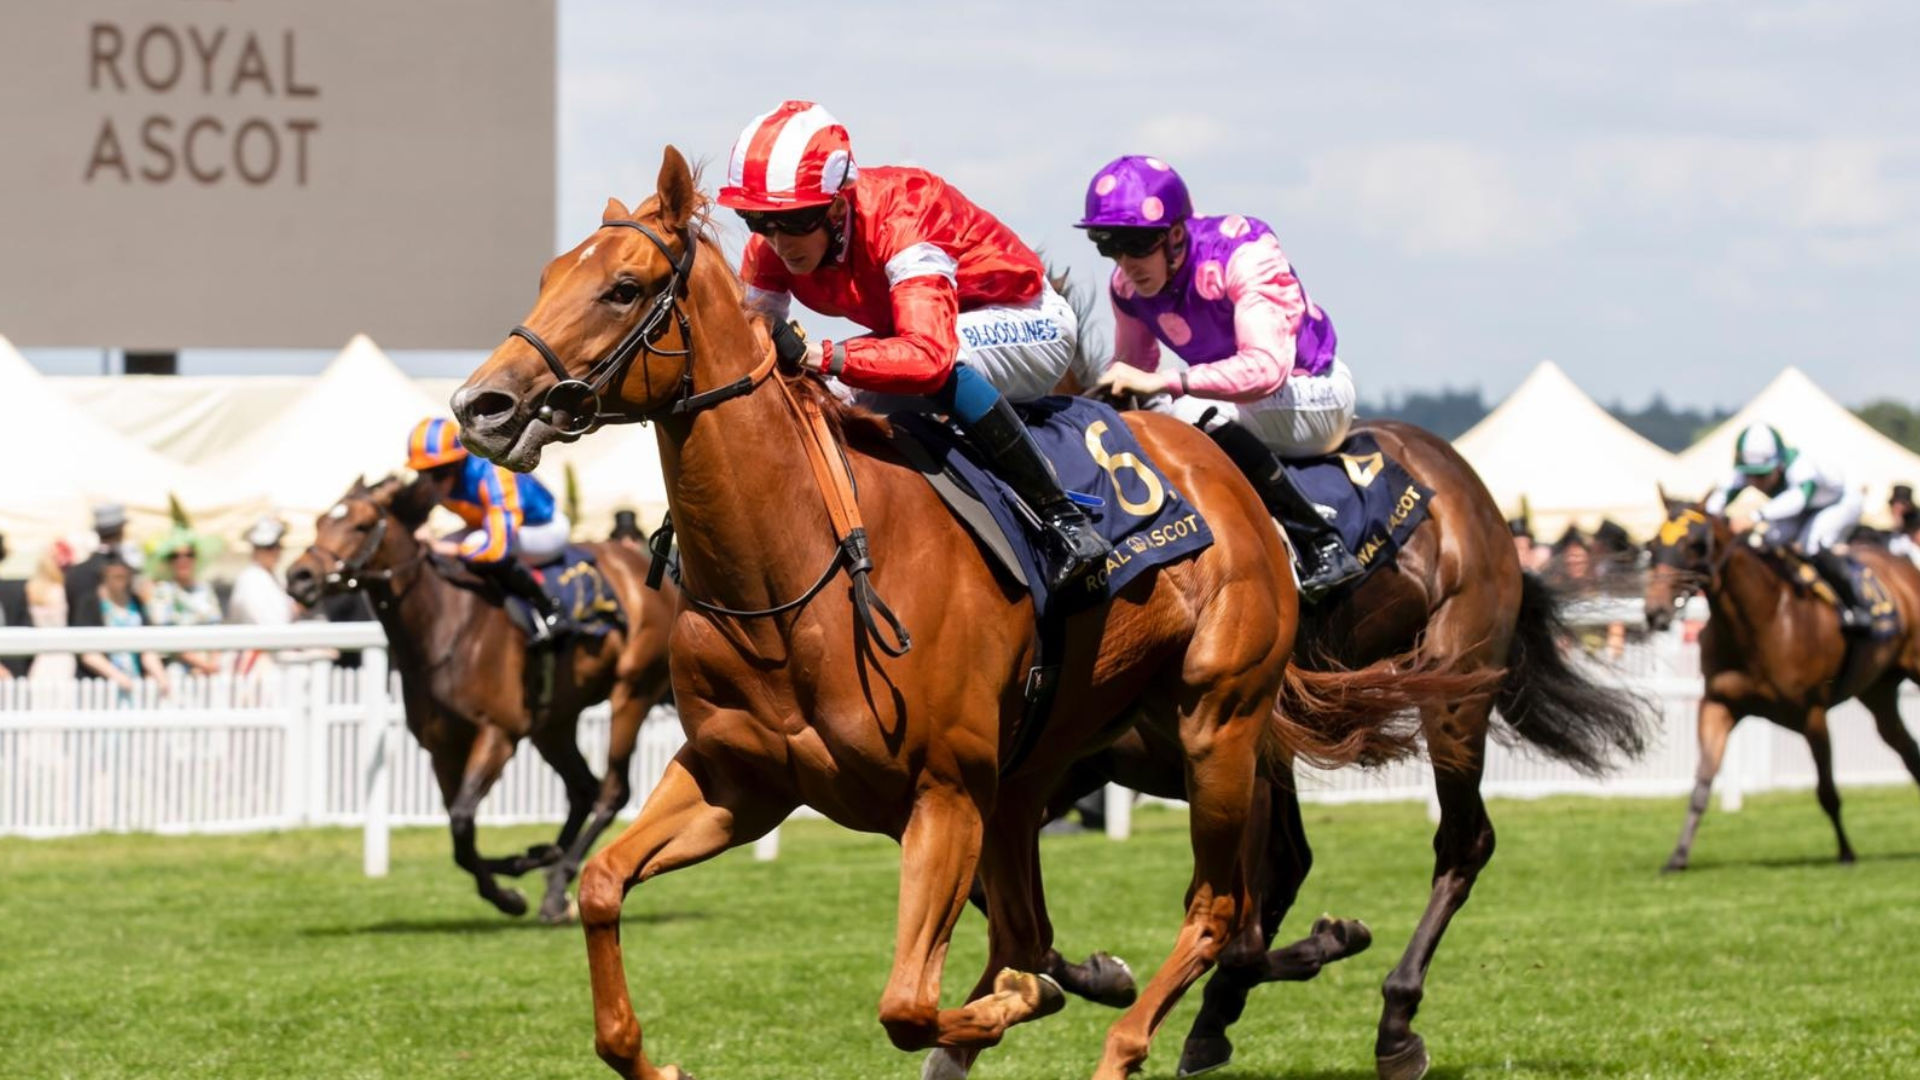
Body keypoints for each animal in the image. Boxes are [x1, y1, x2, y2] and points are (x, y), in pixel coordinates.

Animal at [284, 474, 675, 922]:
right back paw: (553, 881)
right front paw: (518, 879)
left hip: (633, 690)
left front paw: (517, 879)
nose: (299, 577)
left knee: (613, 791)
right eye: (319, 521)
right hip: (553, 720)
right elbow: (461, 836)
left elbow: (461, 820)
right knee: (583, 789)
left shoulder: (497, 733)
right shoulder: (442, 747)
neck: (443, 626)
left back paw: (559, 878)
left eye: (362, 525)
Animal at [453, 148, 1482, 1076]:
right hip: (1041, 773)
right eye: (550, 277)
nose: (482, 404)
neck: (793, 584)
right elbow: (600, 886)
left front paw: (1033, 997)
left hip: (1216, 724)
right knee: (1086, 915)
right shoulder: (736, 782)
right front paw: (649, 1055)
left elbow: (912, 1004)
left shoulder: (942, 795)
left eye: (623, 288)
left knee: (1222, 906)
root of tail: (1222, 472)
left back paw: (1154, 1035)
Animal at [1044, 405, 1658, 1076]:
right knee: (1299, 863)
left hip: (1455, 689)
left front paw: (1326, 943)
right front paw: (1105, 976)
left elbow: (1241, 935)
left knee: (1464, 842)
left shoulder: (1234, 754)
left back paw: (1395, 1023)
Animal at [1635, 495, 1920, 864]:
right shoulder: (1718, 704)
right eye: (1653, 545)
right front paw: (1677, 858)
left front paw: (1846, 853)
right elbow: (1701, 785)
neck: (1763, 622)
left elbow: (1827, 791)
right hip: (1878, 691)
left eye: (1695, 545)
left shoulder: (1813, 713)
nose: (1655, 612)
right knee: (1908, 750)